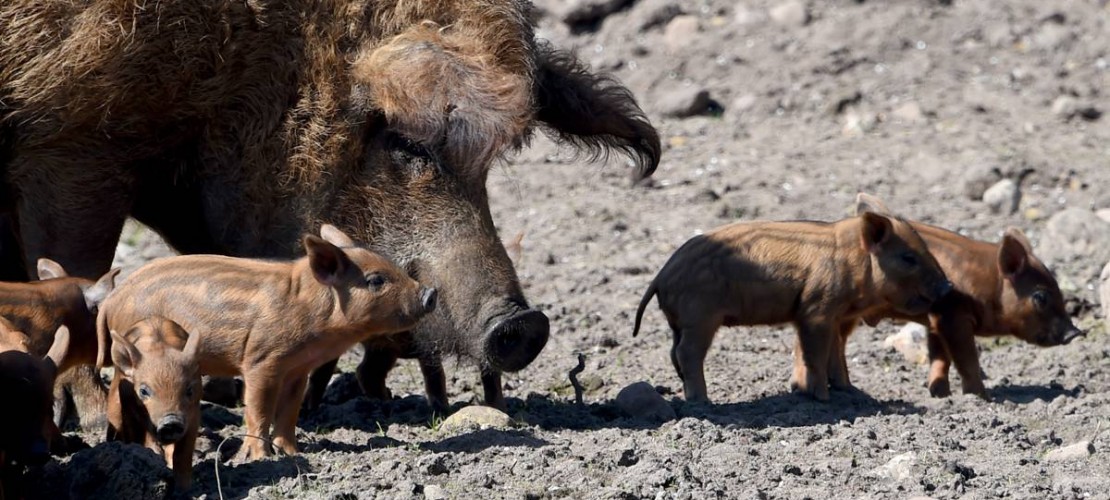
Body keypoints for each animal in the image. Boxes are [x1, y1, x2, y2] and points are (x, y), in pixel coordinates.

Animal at [97, 225, 436, 459]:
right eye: (376, 280)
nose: (431, 293)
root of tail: (113, 299)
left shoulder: (298, 369)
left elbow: (289, 412)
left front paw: (293, 453)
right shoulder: (261, 361)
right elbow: (259, 409)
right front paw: (260, 458)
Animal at [106, 317, 201, 490]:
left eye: (189, 390)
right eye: (143, 391)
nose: (171, 421)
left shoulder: (194, 413)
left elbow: (183, 453)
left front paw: (184, 489)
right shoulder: (129, 408)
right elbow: (143, 439)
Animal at [632, 197, 953, 402]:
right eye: (908, 257)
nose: (948, 286)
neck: (855, 263)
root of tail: (661, 275)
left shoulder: (833, 316)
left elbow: (835, 353)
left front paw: (847, 391)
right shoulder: (816, 309)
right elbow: (816, 353)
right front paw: (822, 398)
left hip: (682, 322)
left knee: (674, 353)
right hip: (700, 318)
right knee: (687, 352)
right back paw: (703, 402)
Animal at [830, 194, 1084, 398]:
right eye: (1040, 296)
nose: (1074, 333)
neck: (989, 285)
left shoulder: (935, 321)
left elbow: (940, 358)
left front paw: (940, 394)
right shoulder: (953, 316)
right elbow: (966, 359)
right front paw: (981, 398)